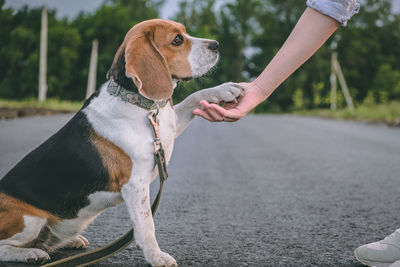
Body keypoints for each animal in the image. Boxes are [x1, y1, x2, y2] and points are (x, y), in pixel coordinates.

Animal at [0, 19, 241, 267]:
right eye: (177, 40)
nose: (216, 45)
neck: (139, 104)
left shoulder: (170, 126)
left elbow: (194, 98)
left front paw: (225, 89)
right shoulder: (135, 185)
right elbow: (146, 226)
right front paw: (156, 256)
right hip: (30, 219)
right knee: (5, 247)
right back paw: (31, 253)